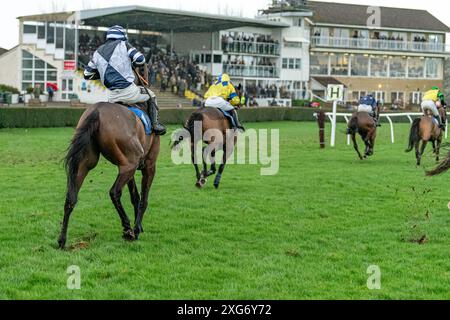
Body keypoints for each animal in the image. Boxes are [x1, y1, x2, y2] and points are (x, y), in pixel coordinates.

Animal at [57, 67, 160, 250]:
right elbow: (143, 198)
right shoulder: (149, 165)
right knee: (114, 192)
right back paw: (128, 229)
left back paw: (62, 240)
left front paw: (139, 225)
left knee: (70, 197)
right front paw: (137, 228)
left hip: (85, 164)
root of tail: (96, 112)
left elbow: (135, 197)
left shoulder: (132, 168)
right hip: (129, 164)